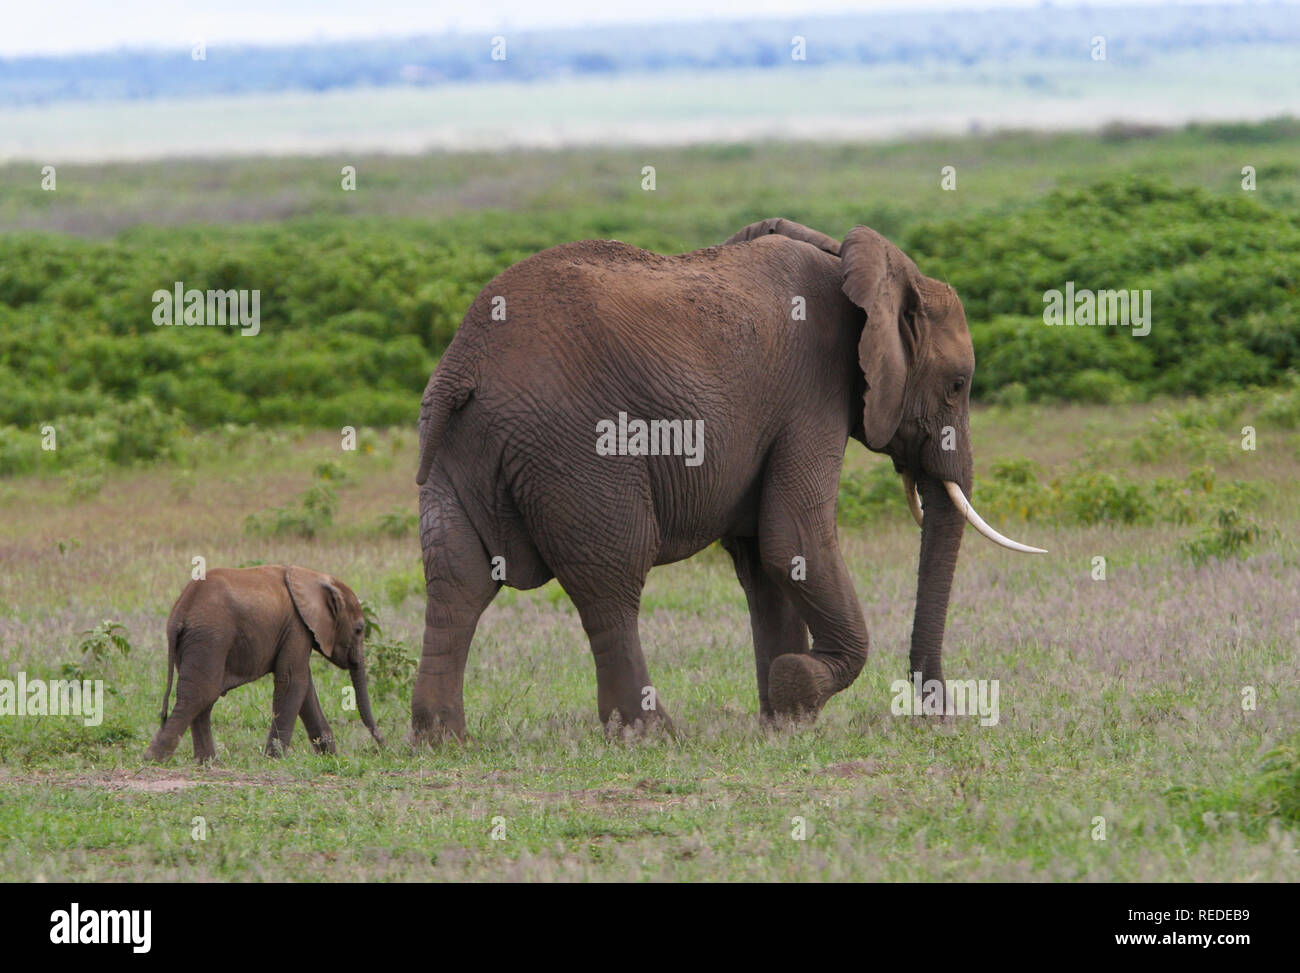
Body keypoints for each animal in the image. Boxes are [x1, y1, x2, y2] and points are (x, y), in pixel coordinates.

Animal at [146, 567, 384, 764]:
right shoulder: (297, 626)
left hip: (195, 642)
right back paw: (155, 760)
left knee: (202, 698)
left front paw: (331, 757)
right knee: (200, 694)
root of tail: (181, 610)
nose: (383, 745)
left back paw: (209, 763)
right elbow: (293, 681)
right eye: (359, 630)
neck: (314, 578)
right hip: (210, 637)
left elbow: (305, 687)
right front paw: (275, 760)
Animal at [416, 217, 1045, 738]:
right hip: (574, 447)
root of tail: (467, 363)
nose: (938, 718)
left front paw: (785, 721)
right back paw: (653, 736)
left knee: (456, 576)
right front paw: (799, 688)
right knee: (612, 575)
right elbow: (793, 538)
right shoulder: (813, 395)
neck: (857, 267)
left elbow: (766, 560)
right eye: (957, 385)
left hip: (459, 446)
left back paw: (442, 740)